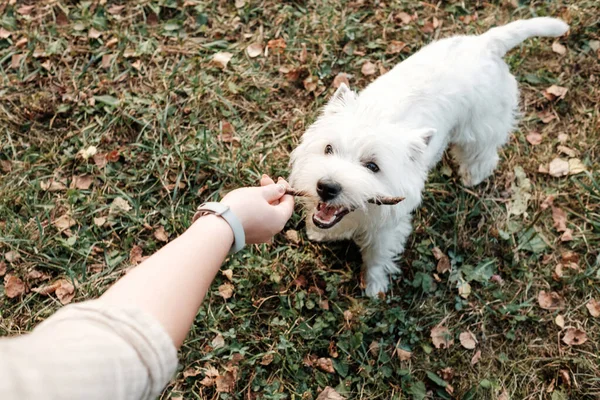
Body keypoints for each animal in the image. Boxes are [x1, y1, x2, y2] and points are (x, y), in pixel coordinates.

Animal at [288, 18, 568, 296]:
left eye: (372, 166)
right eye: (328, 149)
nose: (326, 187)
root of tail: (485, 43)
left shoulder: (388, 228)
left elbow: (377, 256)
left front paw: (374, 285)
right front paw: (319, 233)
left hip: (480, 126)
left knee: (483, 153)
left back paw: (472, 176)